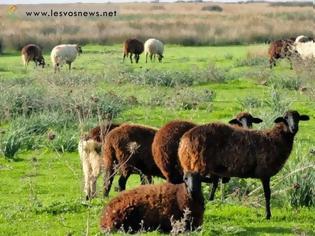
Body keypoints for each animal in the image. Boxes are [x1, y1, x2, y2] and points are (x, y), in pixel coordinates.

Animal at [179, 110, 310, 219]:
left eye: (298, 118)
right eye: (285, 118)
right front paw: (268, 215)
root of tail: (185, 140)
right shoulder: (265, 173)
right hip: (198, 164)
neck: (275, 139)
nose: (294, 128)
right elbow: (267, 194)